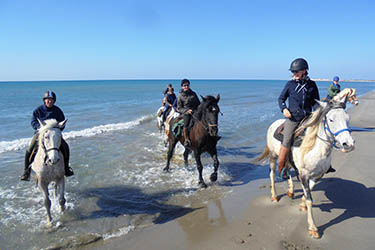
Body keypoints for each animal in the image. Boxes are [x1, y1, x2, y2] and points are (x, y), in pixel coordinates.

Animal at [258, 99, 356, 238]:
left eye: (348, 118)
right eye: (331, 119)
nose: (348, 144)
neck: (316, 148)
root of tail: (273, 124)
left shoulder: (317, 175)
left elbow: (309, 189)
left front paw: (302, 204)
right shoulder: (304, 174)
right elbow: (310, 199)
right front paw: (313, 228)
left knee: (287, 172)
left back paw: (290, 191)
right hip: (273, 156)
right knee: (272, 174)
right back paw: (274, 196)